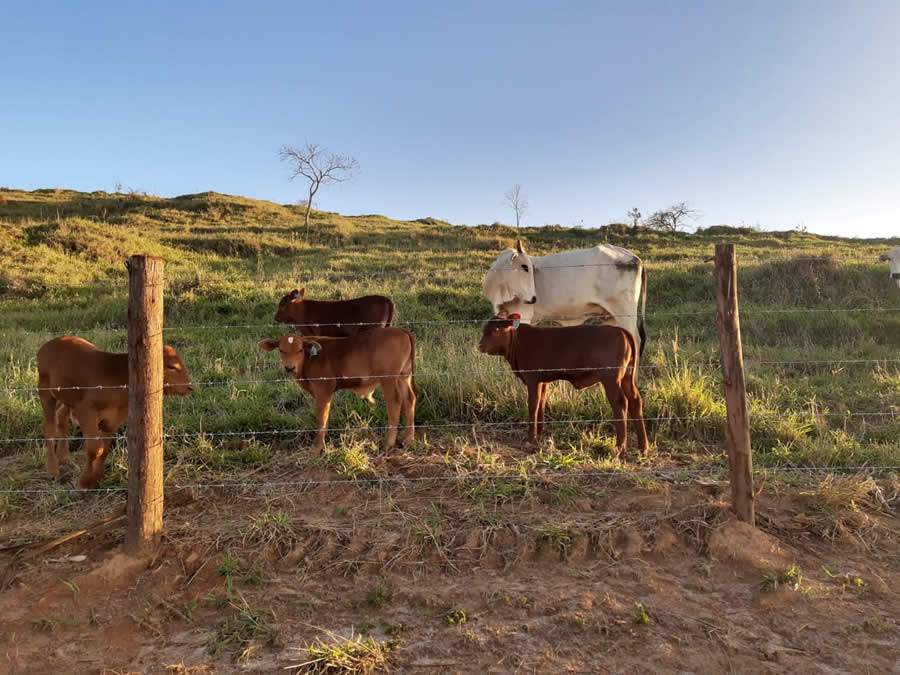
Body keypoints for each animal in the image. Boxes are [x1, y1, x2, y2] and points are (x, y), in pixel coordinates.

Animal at [478, 316, 648, 454]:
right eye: (485, 329)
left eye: (497, 329)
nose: (480, 345)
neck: (518, 343)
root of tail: (620, 330)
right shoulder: (543, 381)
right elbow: (541, 404)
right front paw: (539, 434)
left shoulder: (533, 379)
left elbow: (533, 406)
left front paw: (531, 440)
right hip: (627, 378)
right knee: (635, 401)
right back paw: (643, 447)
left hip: (611, 379)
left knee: (620, 404)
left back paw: (620, 448)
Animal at [486, 243, 648, 356]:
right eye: (525, 267)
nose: (533, 298)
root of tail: (635, 258)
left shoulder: (523, 317)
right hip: (612, 317)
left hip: (625, 313)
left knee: (636, 340)